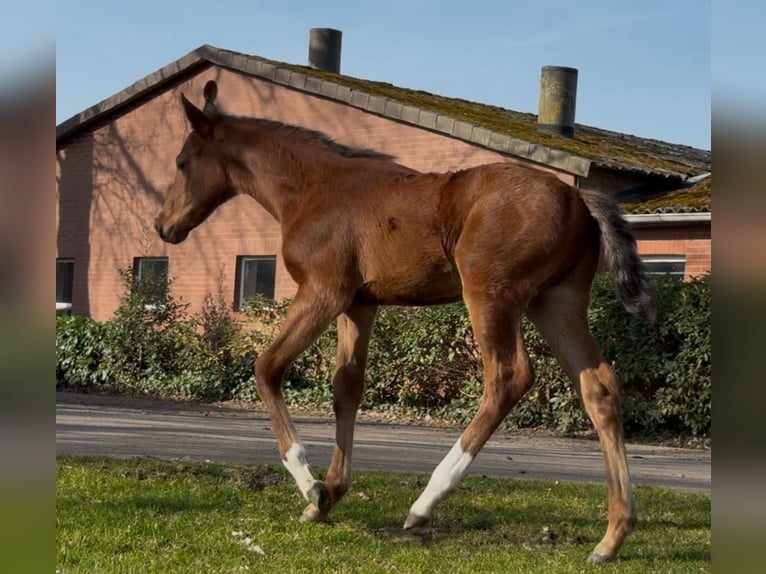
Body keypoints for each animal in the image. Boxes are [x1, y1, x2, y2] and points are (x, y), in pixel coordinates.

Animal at [156, 83, 656, 564]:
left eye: (181, 162)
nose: (163, 226)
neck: (311, 188)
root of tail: (578, 197)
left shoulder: (323, 291)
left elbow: (267, 367)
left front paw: (311, 486)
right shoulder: (359, 304)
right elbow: (346, 387)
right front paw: (329, 495)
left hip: (490, 293)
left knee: (509, 377)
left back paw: (425, 502)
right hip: (557, 302)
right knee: (600, 388)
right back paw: (611, 538)